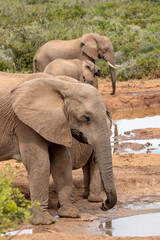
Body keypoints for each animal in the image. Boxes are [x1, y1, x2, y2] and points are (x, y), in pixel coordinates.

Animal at [0, 71, 117, 225]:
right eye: (86, 117)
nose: (104, 205)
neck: (64, 86)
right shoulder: (25, 124)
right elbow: (41, 163)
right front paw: (44, 222)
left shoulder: (57, 123)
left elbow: (62, 162)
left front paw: (70, 214)